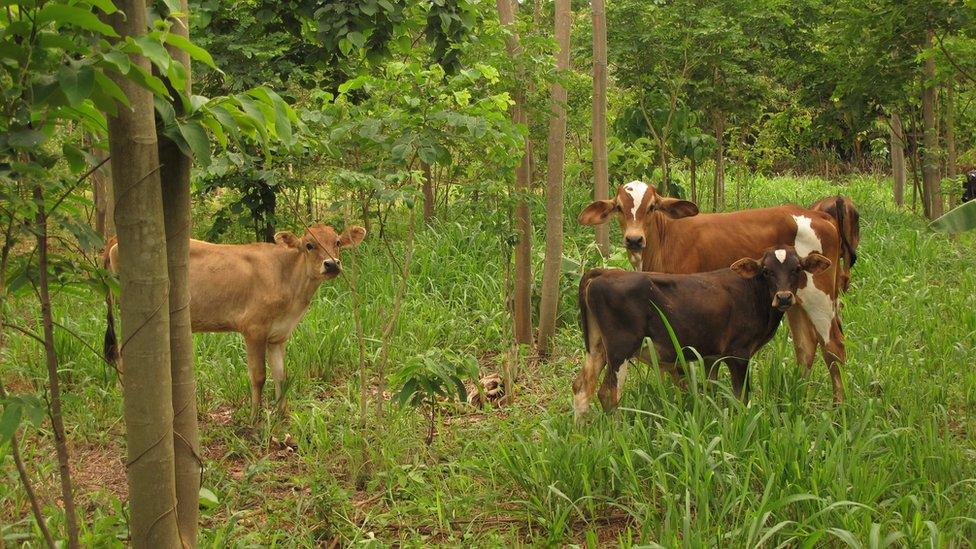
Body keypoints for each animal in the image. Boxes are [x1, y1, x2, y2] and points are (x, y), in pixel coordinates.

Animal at [105, 223, 366, 420]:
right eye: (309, 245)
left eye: (337, 242)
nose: (332, 264)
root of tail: (115, 238)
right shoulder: (253, 329)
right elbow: (258, 376)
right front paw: (254, 419)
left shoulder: (278, 335)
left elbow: (281, 375)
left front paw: (283, 415)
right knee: (122, 353)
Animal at [576, 246, 836, 418]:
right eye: (766, 270)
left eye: (797, 269)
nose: (783, 297)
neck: (753, 292)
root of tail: (604, 272)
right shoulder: (739, 353)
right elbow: (741, 397)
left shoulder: (712, 357)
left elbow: (712, 391)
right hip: (620, 349)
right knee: (608, 394)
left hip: (597, 347)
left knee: (581, 387)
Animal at [580, 182, 848, 400]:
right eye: (619, 208)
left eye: (652, 206)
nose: (634, 239)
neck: (665, 240)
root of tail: (818, 215)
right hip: (793, 300)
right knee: (805, 347)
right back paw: (797, 398)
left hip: (818, 295)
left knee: (833, 346)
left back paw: (839, 408)